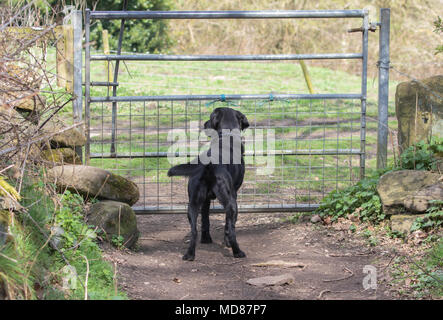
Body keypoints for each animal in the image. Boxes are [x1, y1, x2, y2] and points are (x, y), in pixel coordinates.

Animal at [168, 106, 250, 262]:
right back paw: (237, 252)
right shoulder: (234, 194)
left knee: (194, 231)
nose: (204, 124)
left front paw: (206, 239)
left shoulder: (205, 200)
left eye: (210, 118)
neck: (227, 135)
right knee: (231, 230)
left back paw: (189, 254)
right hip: (231, 203)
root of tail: (209, 164)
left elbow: (205, 219)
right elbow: (227, 225)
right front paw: (226, 242)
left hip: (192, 204)